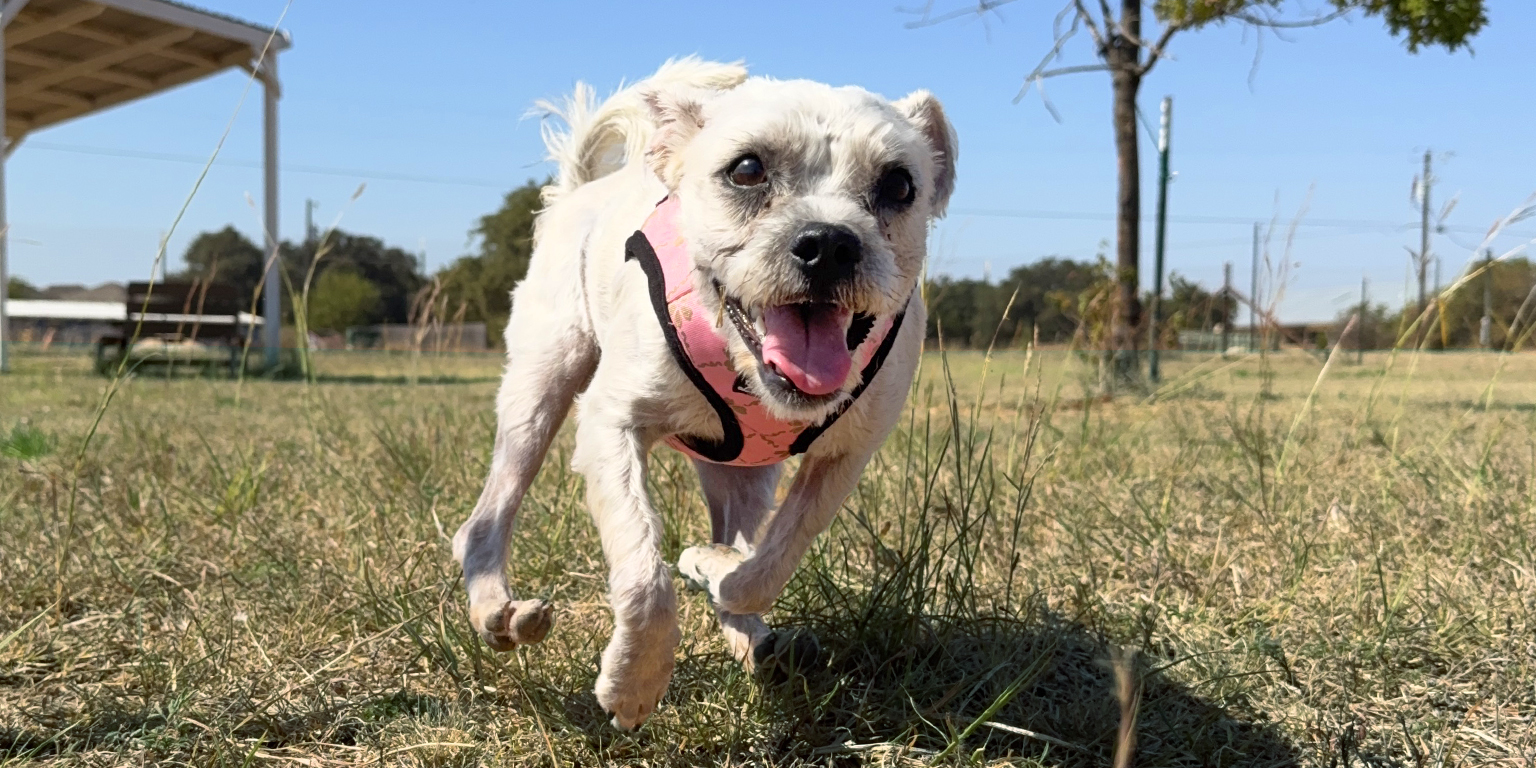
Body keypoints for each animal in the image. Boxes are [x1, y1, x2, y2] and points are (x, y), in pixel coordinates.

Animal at [448, 56, 952, 728]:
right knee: (485, 519)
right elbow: (644, 573)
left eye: (899, 184)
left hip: (745, 474)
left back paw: (751, 632)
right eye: (747, 169)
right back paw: (497, 612)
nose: (829, 243)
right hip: (540, 389)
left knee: (739, 534)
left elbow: (771, 562)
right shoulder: (610, 423)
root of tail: (580, 191)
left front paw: (719, 576)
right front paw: (634, 683)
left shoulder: (845, 456)